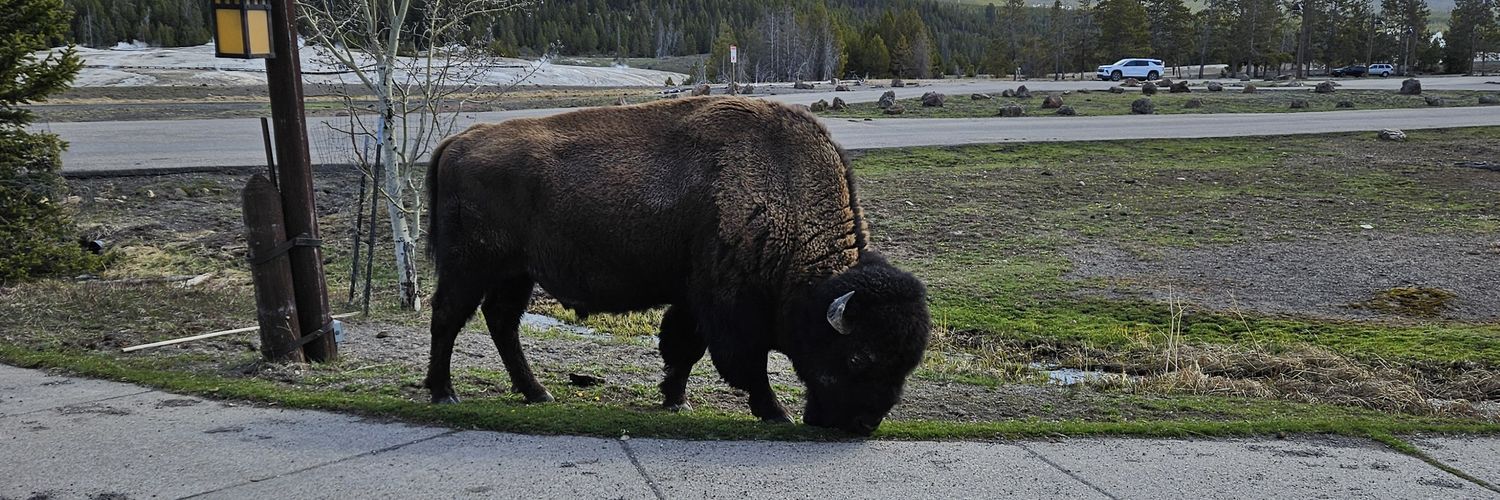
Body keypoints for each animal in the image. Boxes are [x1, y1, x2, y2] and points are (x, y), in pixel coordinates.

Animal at [423, 96, 930, 435]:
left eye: (908, 363)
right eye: (859, 356)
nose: (862, 425)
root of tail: (457, 141)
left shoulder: (692, 301)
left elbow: (683, 349)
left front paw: (675, 401)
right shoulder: (727, 309)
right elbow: (744, 364)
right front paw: (776, 412)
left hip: (516, 274)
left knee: (501, 322)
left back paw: (536, 392)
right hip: (470, 268)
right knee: (449, 317)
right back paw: (444, 392)